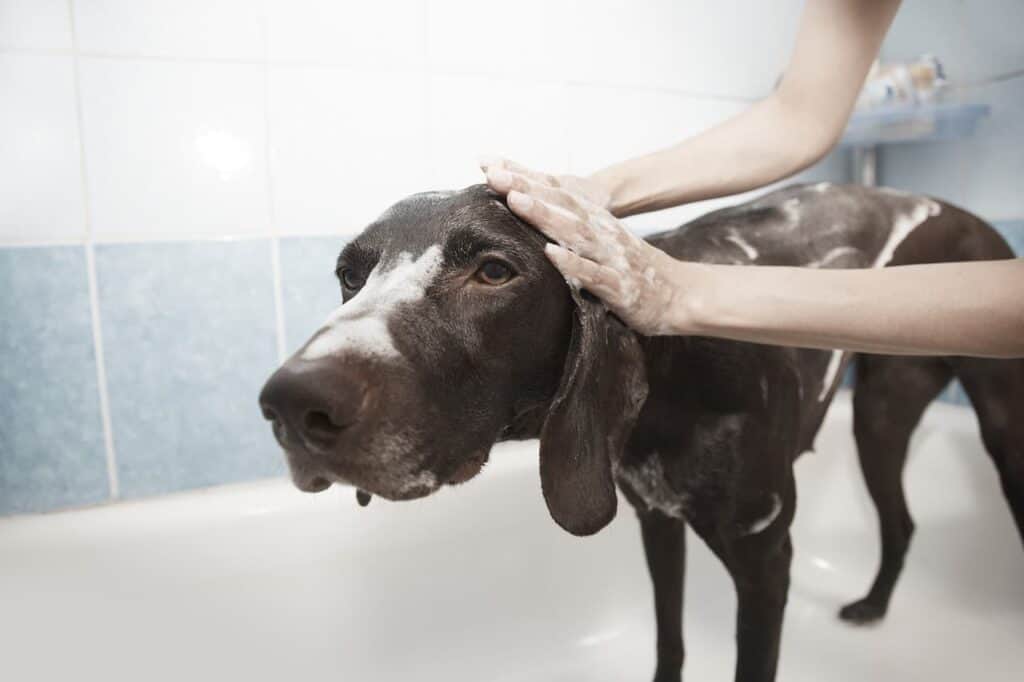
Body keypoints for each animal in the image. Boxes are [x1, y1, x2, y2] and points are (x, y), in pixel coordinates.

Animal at [258, 182, 1024, 679]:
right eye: (349, 276)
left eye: (494, 271)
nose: (292, 404)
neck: (676, 377)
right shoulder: (656, 521)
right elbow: (670, 641)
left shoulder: (765, 563)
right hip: (880, 418)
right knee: (900, 521)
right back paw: (873, 604)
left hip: (982, 427)